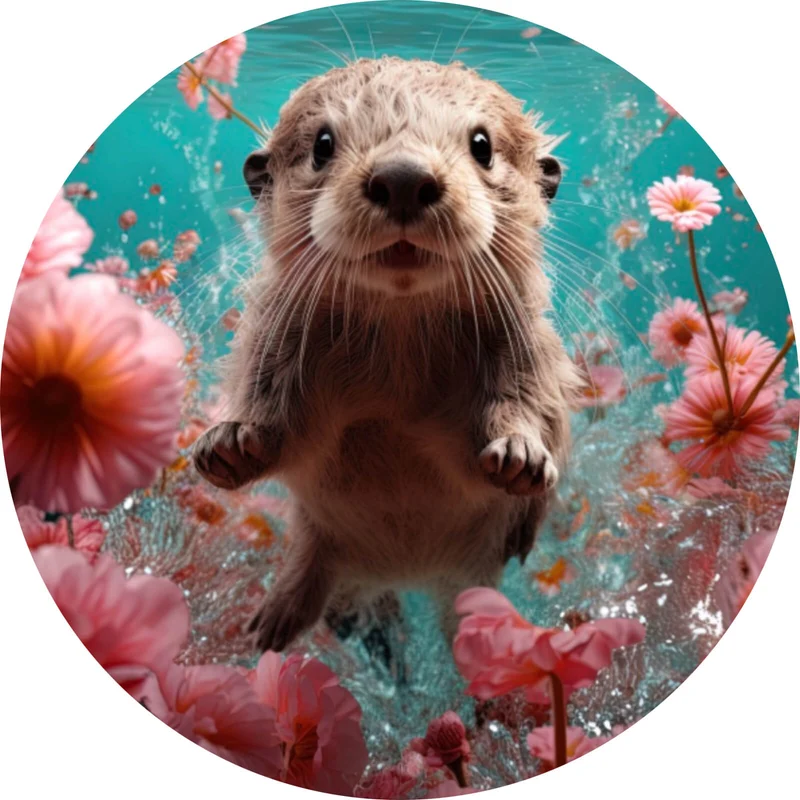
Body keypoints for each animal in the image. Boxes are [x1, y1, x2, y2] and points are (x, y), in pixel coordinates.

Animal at [192, 57, 581, 653]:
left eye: (483, 145)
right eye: (323, 144)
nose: (403, 177)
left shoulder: (529, 349)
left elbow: (525, 411)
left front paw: (520, 453)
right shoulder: (274, 343)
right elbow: (282, 426)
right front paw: (231, 443)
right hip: (316, 540)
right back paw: (270, 627)